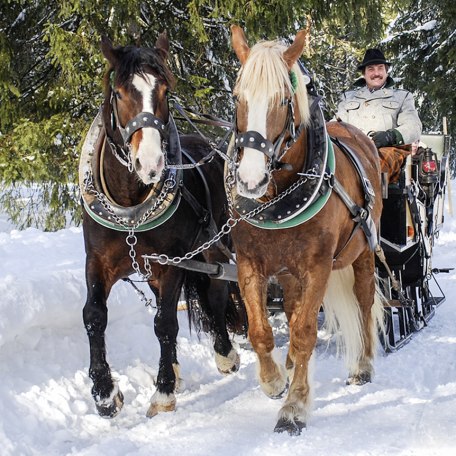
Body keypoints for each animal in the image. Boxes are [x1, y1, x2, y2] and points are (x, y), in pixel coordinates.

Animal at [81, 33, 246, 420]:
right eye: (119, 93)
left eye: (166, 91)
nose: (151, 163)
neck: (130, 205)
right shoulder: (98, 261)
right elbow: (94, 315)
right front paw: (105, 393)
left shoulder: (172, 263)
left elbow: (166, 323)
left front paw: (164, 392)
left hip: (213, 249)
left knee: (216, 294)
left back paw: (224, 353)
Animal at [230, 26, 382, 436]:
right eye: (237, 97)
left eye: (283, 100)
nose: (250, 180)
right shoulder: (250, 263)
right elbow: (260, 330)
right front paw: (274, 381)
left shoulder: (318, 266)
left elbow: (303, 333)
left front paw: (294, 406)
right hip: (291, 273)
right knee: (295, 310)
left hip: (362, 254)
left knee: (363, 303)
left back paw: (363, 365)